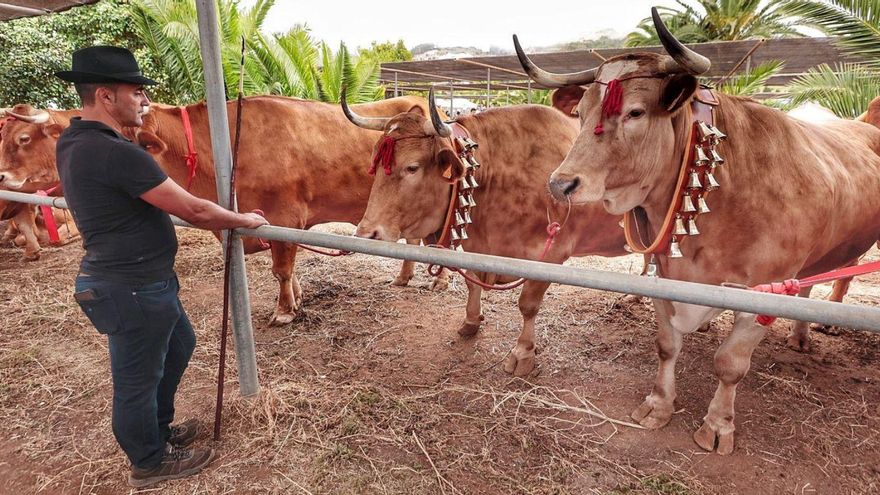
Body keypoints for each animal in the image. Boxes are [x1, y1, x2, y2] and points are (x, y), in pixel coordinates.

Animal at [1, 99, 446, 326]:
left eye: (23, 137)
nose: (3, 176)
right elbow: (290, 268)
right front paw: (298, 299)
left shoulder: (285, 217)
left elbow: (281, 268)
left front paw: (284, 311)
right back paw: (405, 277)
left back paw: (437, 281)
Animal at [342, 89, 624, 376]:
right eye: (375, 164)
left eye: (412, 167)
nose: (366, 233)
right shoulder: (477, 248)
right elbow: (472, 283)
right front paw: (471, 320)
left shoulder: (551, 254)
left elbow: (528, 304)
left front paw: (523, 352)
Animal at [516, 8, 880, 458]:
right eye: (580, 114)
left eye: (635, 112)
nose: (561, 184)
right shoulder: (666, 273)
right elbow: (667, 345)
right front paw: (659, 404)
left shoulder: (764, 290)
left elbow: (730, 364)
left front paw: (718, 424)